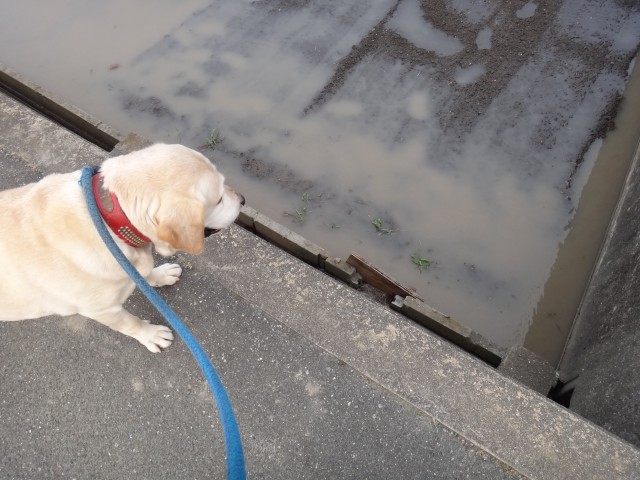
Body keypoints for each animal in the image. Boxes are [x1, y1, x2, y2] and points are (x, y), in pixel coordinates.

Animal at [0, 143, 245, 352]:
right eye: (219, 199)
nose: (243, 199)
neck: (109, 222)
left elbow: (144, 272)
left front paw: (161, 275)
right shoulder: (102, 310)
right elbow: (131, 324)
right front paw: (151, 335)